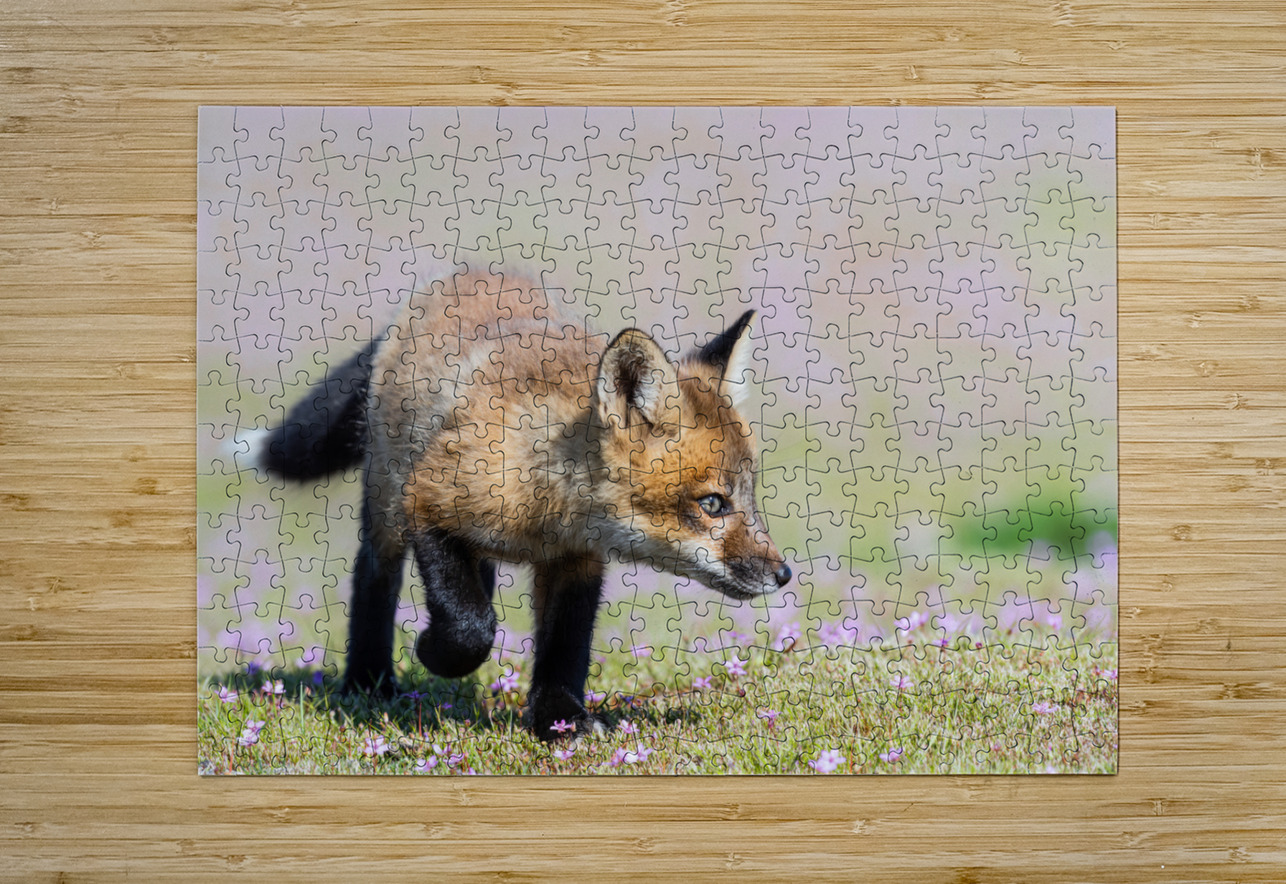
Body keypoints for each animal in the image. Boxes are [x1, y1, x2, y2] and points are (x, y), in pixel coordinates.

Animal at [259, 271, 791, 739]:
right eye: (713, 503)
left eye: (749, 496)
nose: (784, 574)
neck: (550, 512)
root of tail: (460, 275)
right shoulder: (426, 502)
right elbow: (471, 627)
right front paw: (433, 652)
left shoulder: (576, 561)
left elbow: (564, 648)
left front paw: (560, 721)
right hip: (387, 503)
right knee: (375, 577)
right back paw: (368, 683)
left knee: (478, 576)